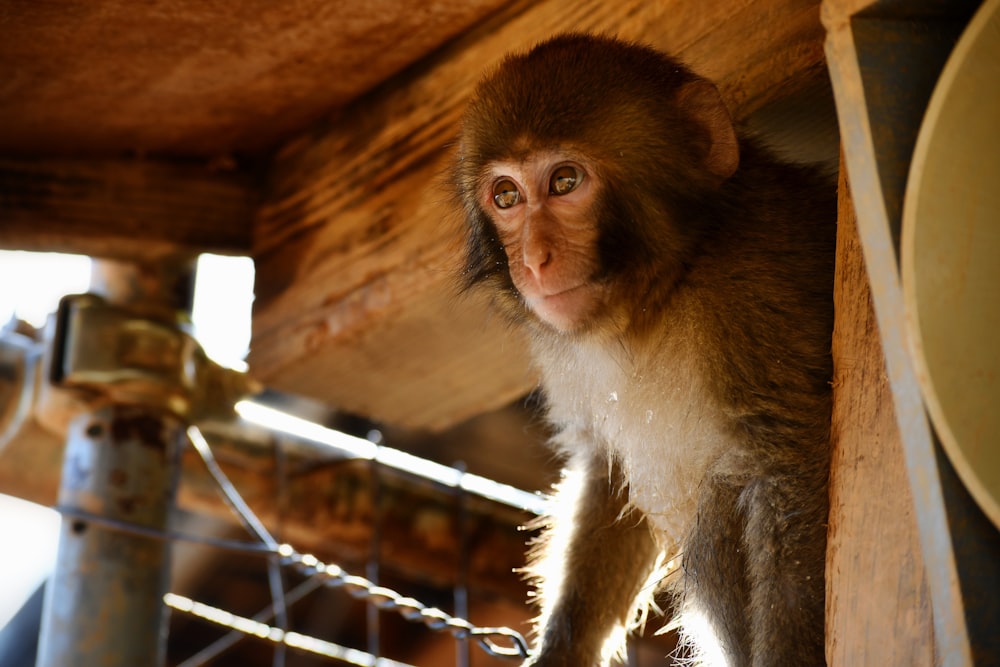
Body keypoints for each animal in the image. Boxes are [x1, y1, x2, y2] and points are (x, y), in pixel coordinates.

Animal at [454, 34, 836, 664]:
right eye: (506, 196)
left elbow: (790, 466)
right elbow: (608, 479)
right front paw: (564, 648)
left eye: (565, 182)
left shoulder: (757, 289)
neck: (664, 293)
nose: (533, 260)